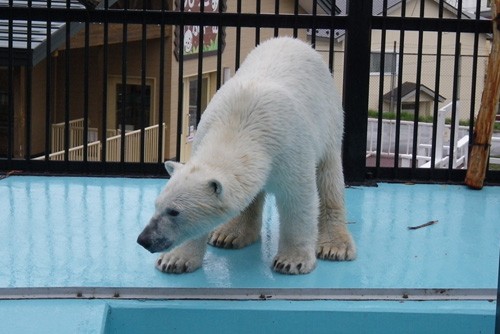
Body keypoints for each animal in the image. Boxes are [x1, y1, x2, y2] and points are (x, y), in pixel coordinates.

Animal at [137, 37, 356, 276]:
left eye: (174, 212)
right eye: (157, 205)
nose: (143, 240)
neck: (239, 127)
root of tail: (294, 41)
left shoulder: (291, 149)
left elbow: (298, 200)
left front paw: (291, 261)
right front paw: (175, 260)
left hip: (329, 121)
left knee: (329, 179)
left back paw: (335, 246)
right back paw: (230, 234)